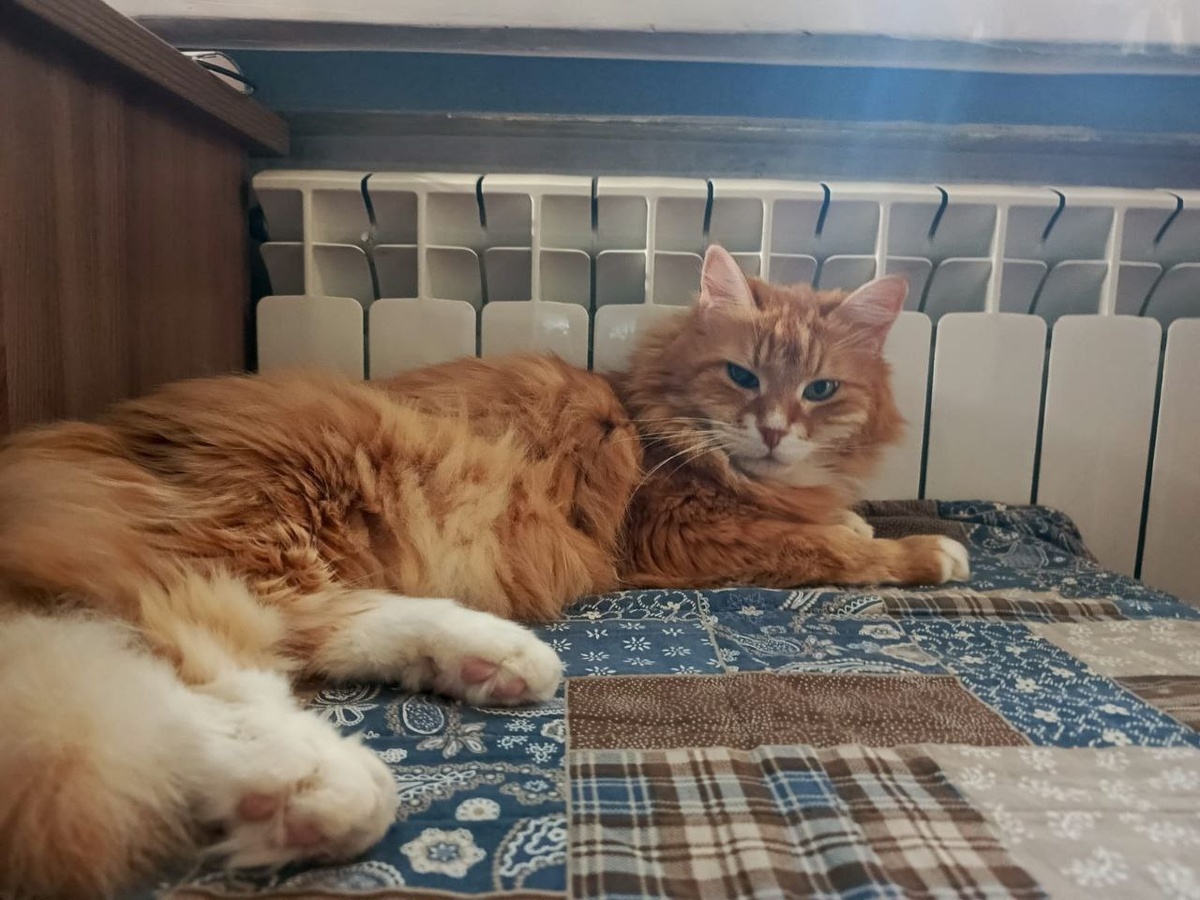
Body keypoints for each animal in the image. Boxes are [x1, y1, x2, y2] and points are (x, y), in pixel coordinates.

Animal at [0, 244, 966, 898]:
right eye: (741, 376)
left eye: (820, 392)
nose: (771, 430)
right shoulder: (685, 534)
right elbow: (832, 549)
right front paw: (924, 549)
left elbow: (827, 517)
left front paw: (847, 507)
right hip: (279, 518)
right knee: (187, 667)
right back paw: (312, 783)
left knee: (306, 631)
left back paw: (491, 661)